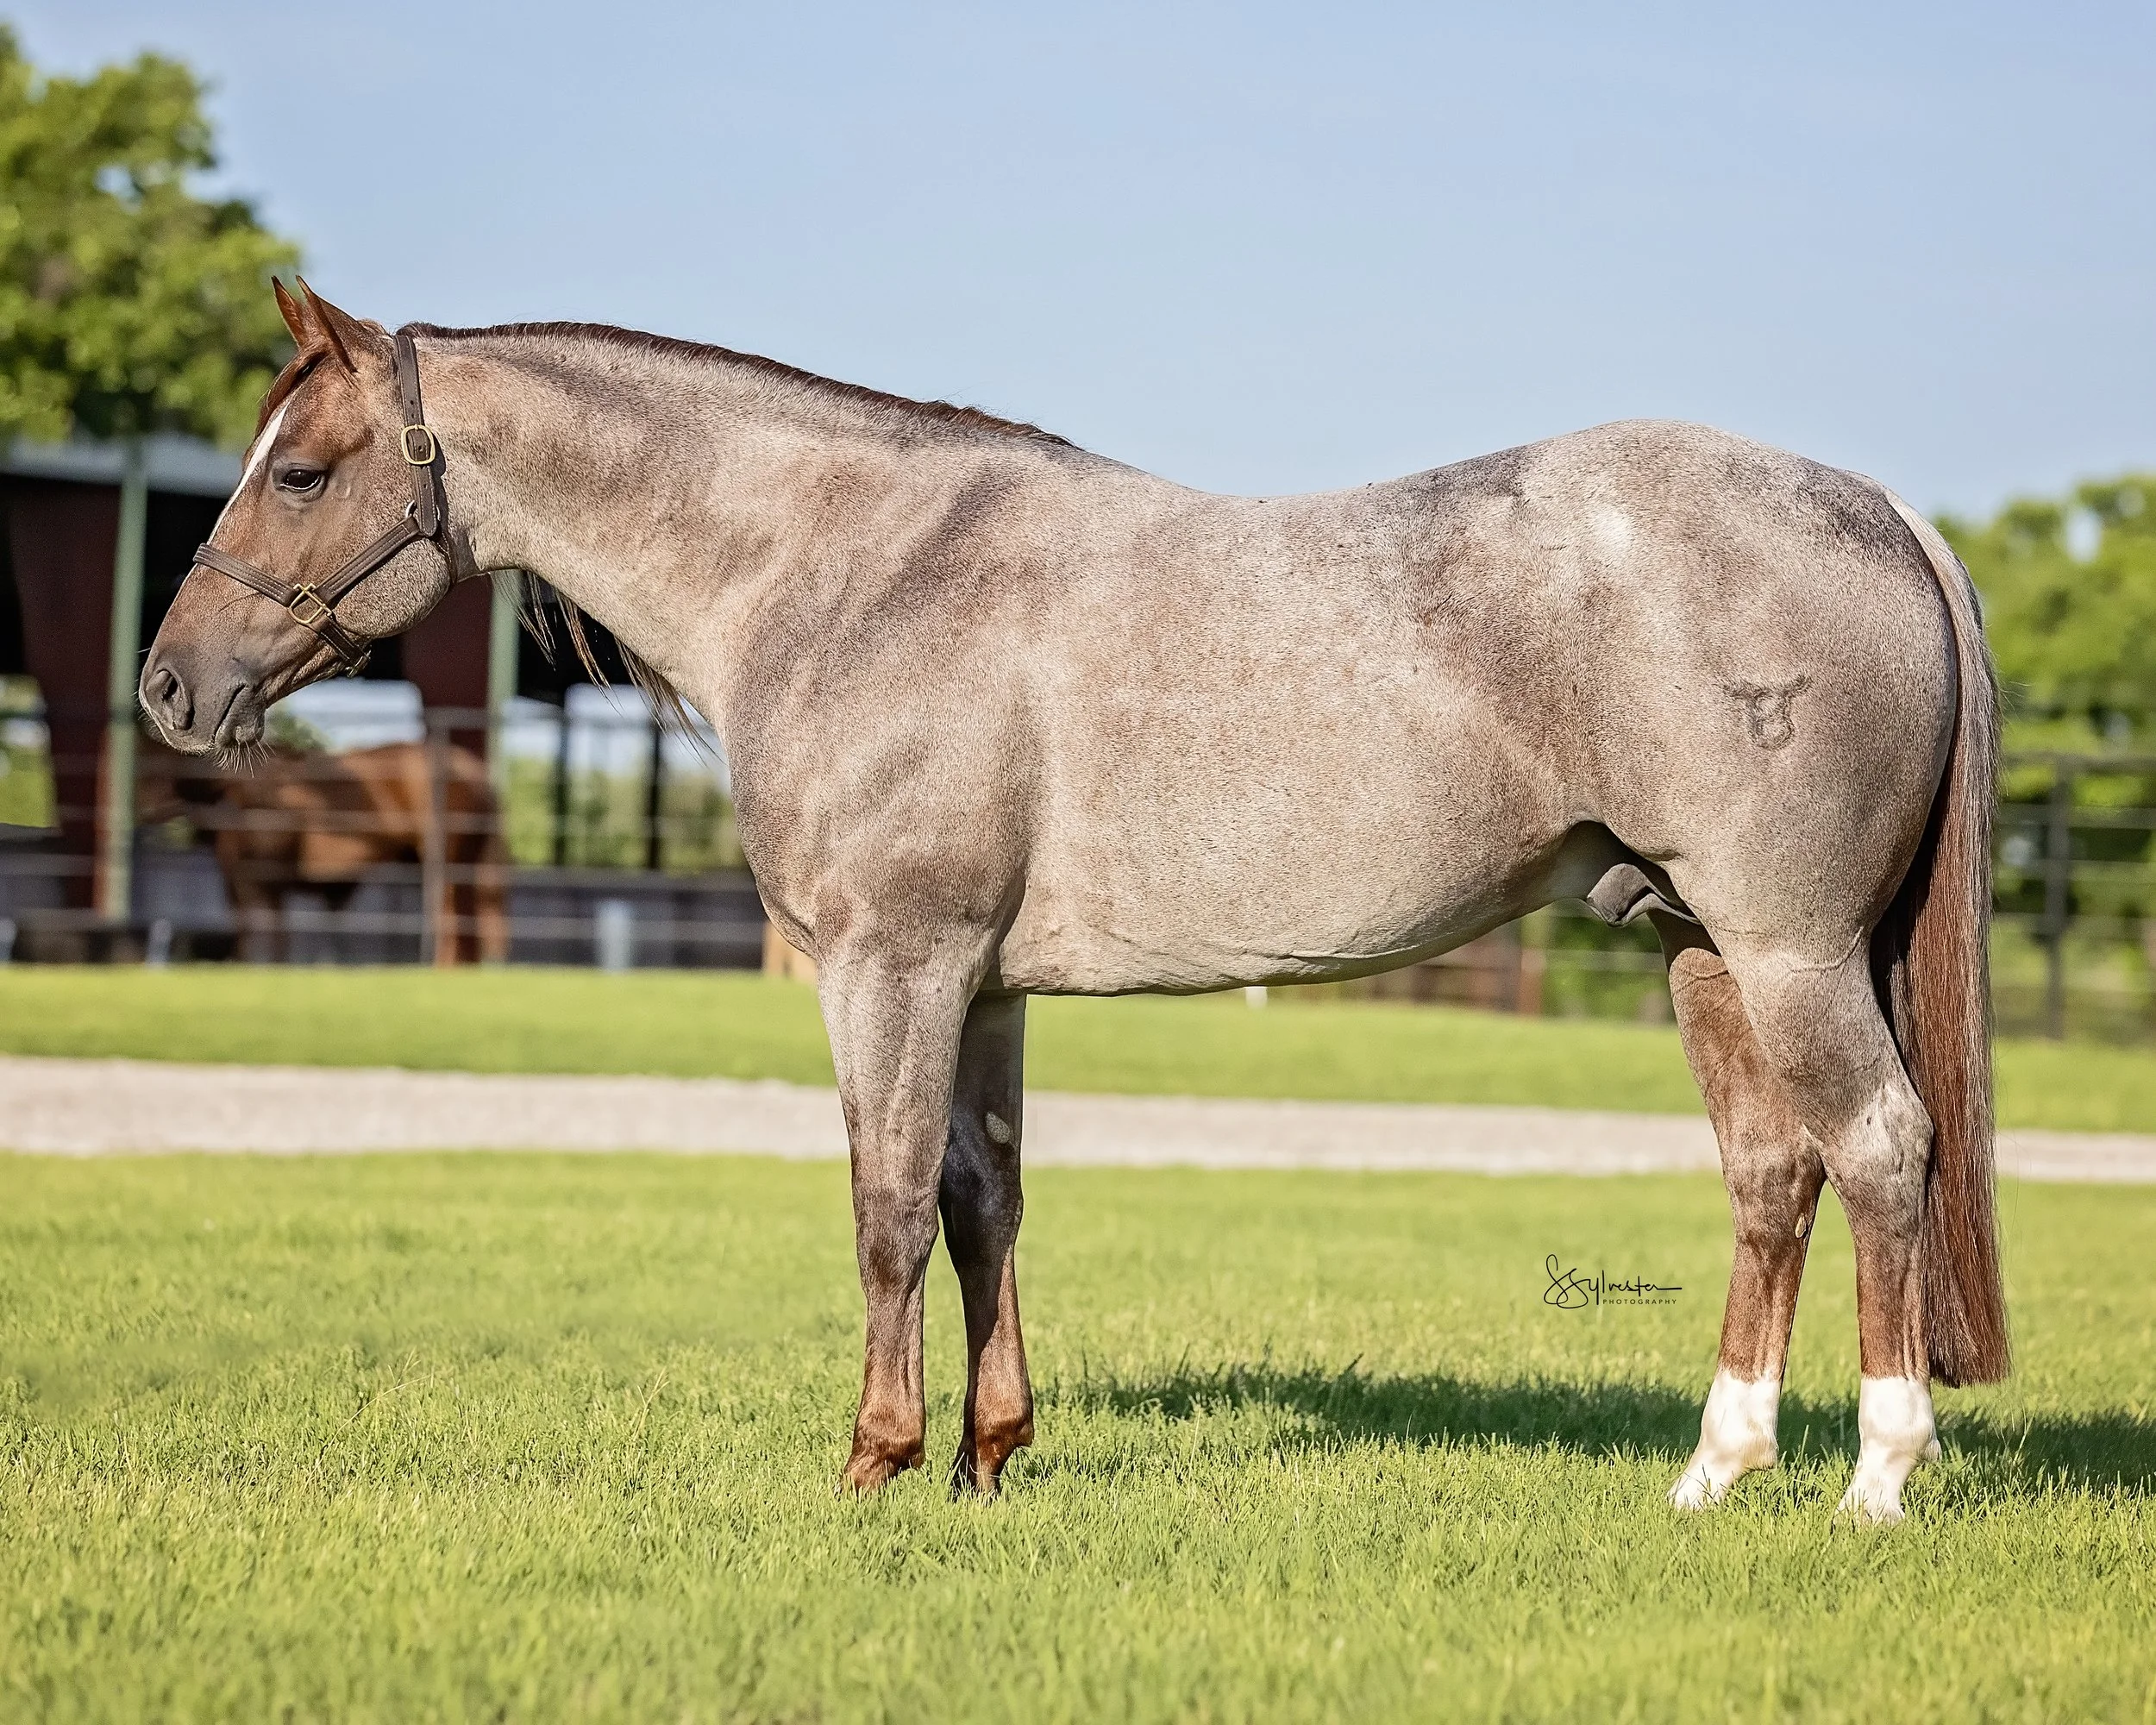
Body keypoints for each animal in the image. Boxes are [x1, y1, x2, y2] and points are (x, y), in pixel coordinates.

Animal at [137, 734, 509, 965]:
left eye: (159, 767)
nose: (148, 809)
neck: (241, 793)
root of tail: (474, 770)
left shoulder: (267, 881)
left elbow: (274, 934)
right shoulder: (237, 882)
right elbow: (248, 932)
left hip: (443, 863)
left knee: (450, 916)